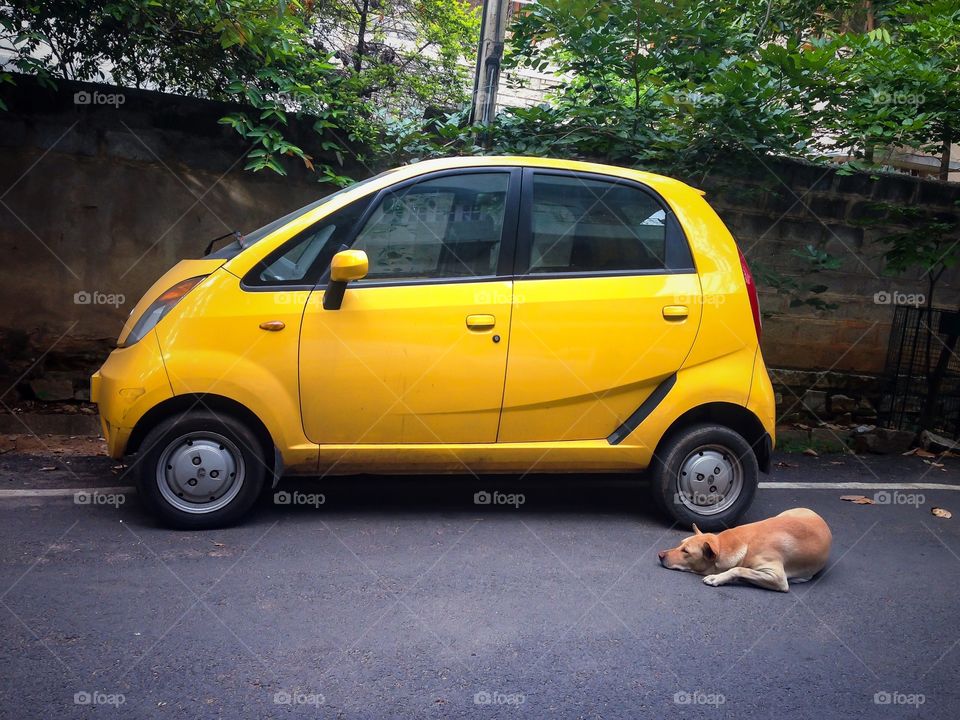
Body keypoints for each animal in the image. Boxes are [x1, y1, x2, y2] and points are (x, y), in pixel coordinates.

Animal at [656, 506, 828, 592]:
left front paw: (717, 578)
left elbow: (738, 569)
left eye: (686, 551)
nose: (660, 555)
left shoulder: (778, 578)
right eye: (680, 544)